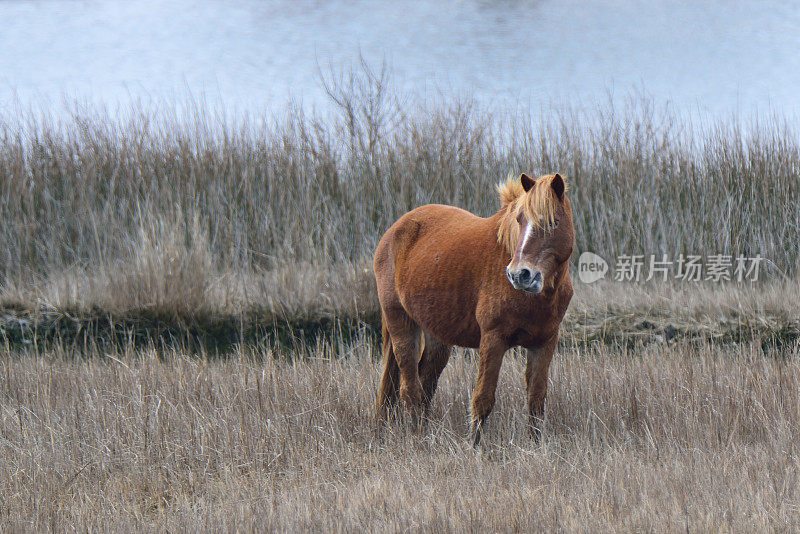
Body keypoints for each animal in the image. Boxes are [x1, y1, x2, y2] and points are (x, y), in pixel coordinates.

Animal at [376, 174, 576, 446]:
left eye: (554, 222)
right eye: (519, 220)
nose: (519, 275)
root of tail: (395, 230)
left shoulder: (544, 344)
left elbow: (536, 400)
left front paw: (535, 445)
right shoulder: (493, 340)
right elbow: (483, 398)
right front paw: (474, 447)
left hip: (437, 339)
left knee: (425, 385)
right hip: (401, 325)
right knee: (410, 390)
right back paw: (417, 438)